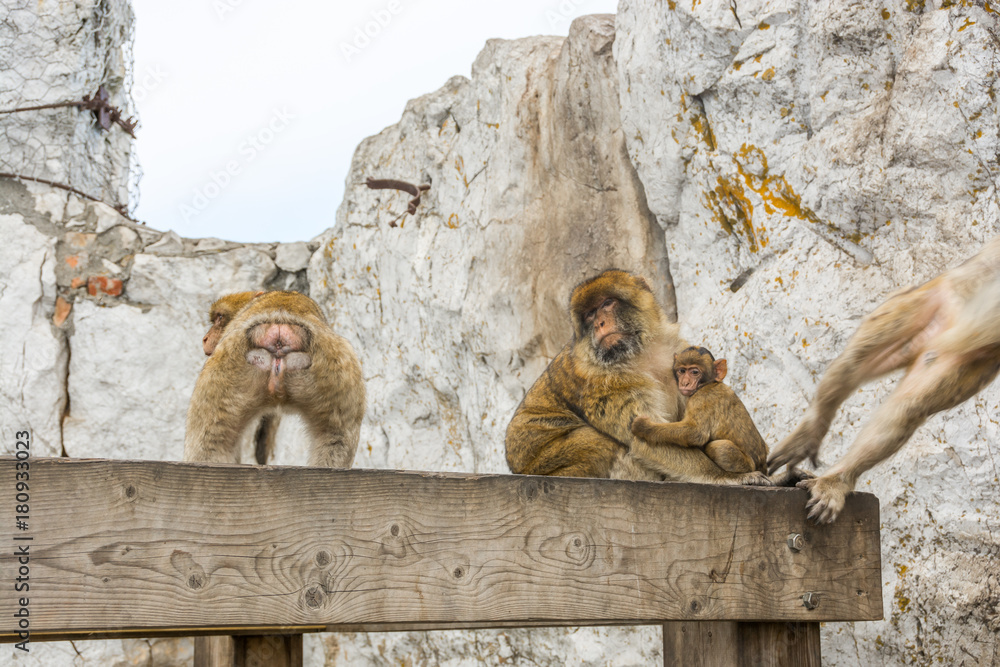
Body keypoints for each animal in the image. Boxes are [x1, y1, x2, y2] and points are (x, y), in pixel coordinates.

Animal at [184, 290, 365, 469]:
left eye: (219, 318)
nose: (205, 338)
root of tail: (279, 329)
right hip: (338, 364)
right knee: (335, 437)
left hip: (225, 362)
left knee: (210, 443)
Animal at [630, 346, 768, 475]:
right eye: (682, 371)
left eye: (695, 372)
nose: (685, 382)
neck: (707, 384)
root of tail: (763, 467)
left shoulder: (702, 398)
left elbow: (696, 433)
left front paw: (643, 426)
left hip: (746, 465)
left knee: (719, 448)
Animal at [768, 236, 1000, 523]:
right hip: (927, 300)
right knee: (854, 362)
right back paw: (812, 429)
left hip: (967, 354)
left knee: (908, 407)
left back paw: (838, 480)